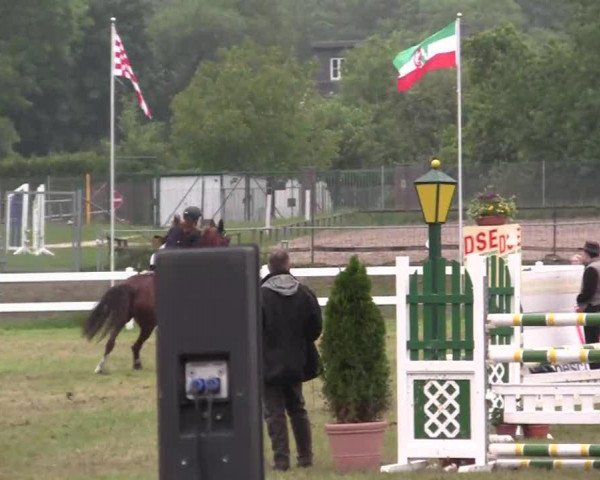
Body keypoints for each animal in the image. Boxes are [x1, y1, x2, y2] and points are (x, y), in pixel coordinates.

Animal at [85, 223, 231, 374]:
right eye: (225, 241)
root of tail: (131, 286)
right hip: (148, 323)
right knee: (134, 344)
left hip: (124, 318)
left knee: (115, 343)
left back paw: (107, 367)